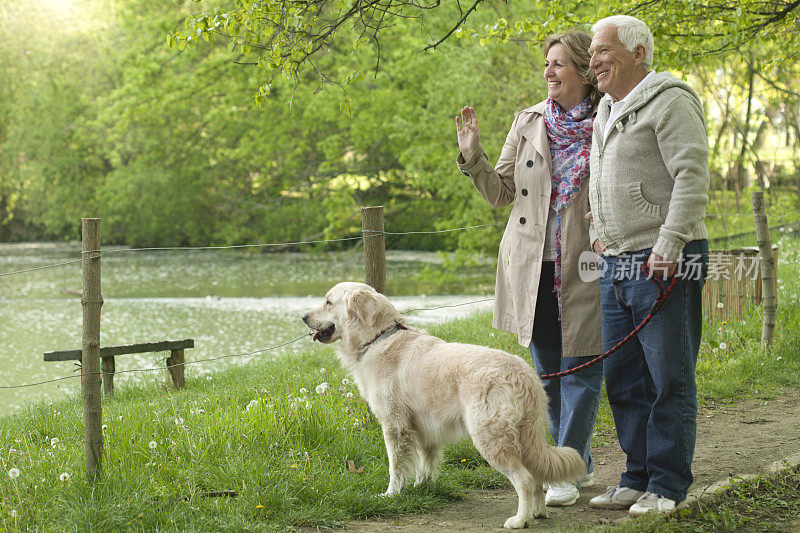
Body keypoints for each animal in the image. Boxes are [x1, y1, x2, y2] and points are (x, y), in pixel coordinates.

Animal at [304, 280, 584, 524]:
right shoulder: (423, 429)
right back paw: (538, 513)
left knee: (525, 479)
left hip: (490, 438)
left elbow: (396, 468)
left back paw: (520, 520)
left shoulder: (395, 427)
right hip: (522, 438)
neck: (378, 338)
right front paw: (422, 487)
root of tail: (524, 375)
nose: (304, 317)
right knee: (536, 478)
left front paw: (392, 494)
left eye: (328, 302)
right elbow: (425, 462)